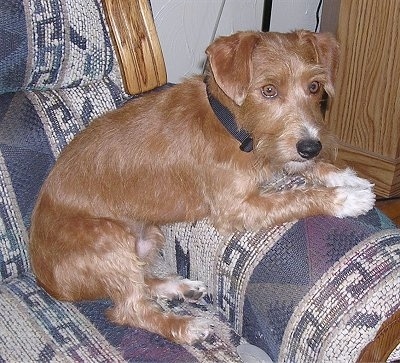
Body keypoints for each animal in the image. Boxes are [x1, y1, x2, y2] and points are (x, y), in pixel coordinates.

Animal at [30, 30, 376, 344]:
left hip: (146, 236)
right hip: (108, 237)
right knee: (130, 308)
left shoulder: (277, 153)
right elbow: (294, 197)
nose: (312, 147)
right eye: (268, 90)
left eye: (314, 86)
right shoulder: (236, 208)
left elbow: (304, 170)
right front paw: (344, 199)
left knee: (142, 282)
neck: (235, 127)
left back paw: (178, 287)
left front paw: (344, 175)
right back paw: (187, 327)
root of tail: (47, 281)